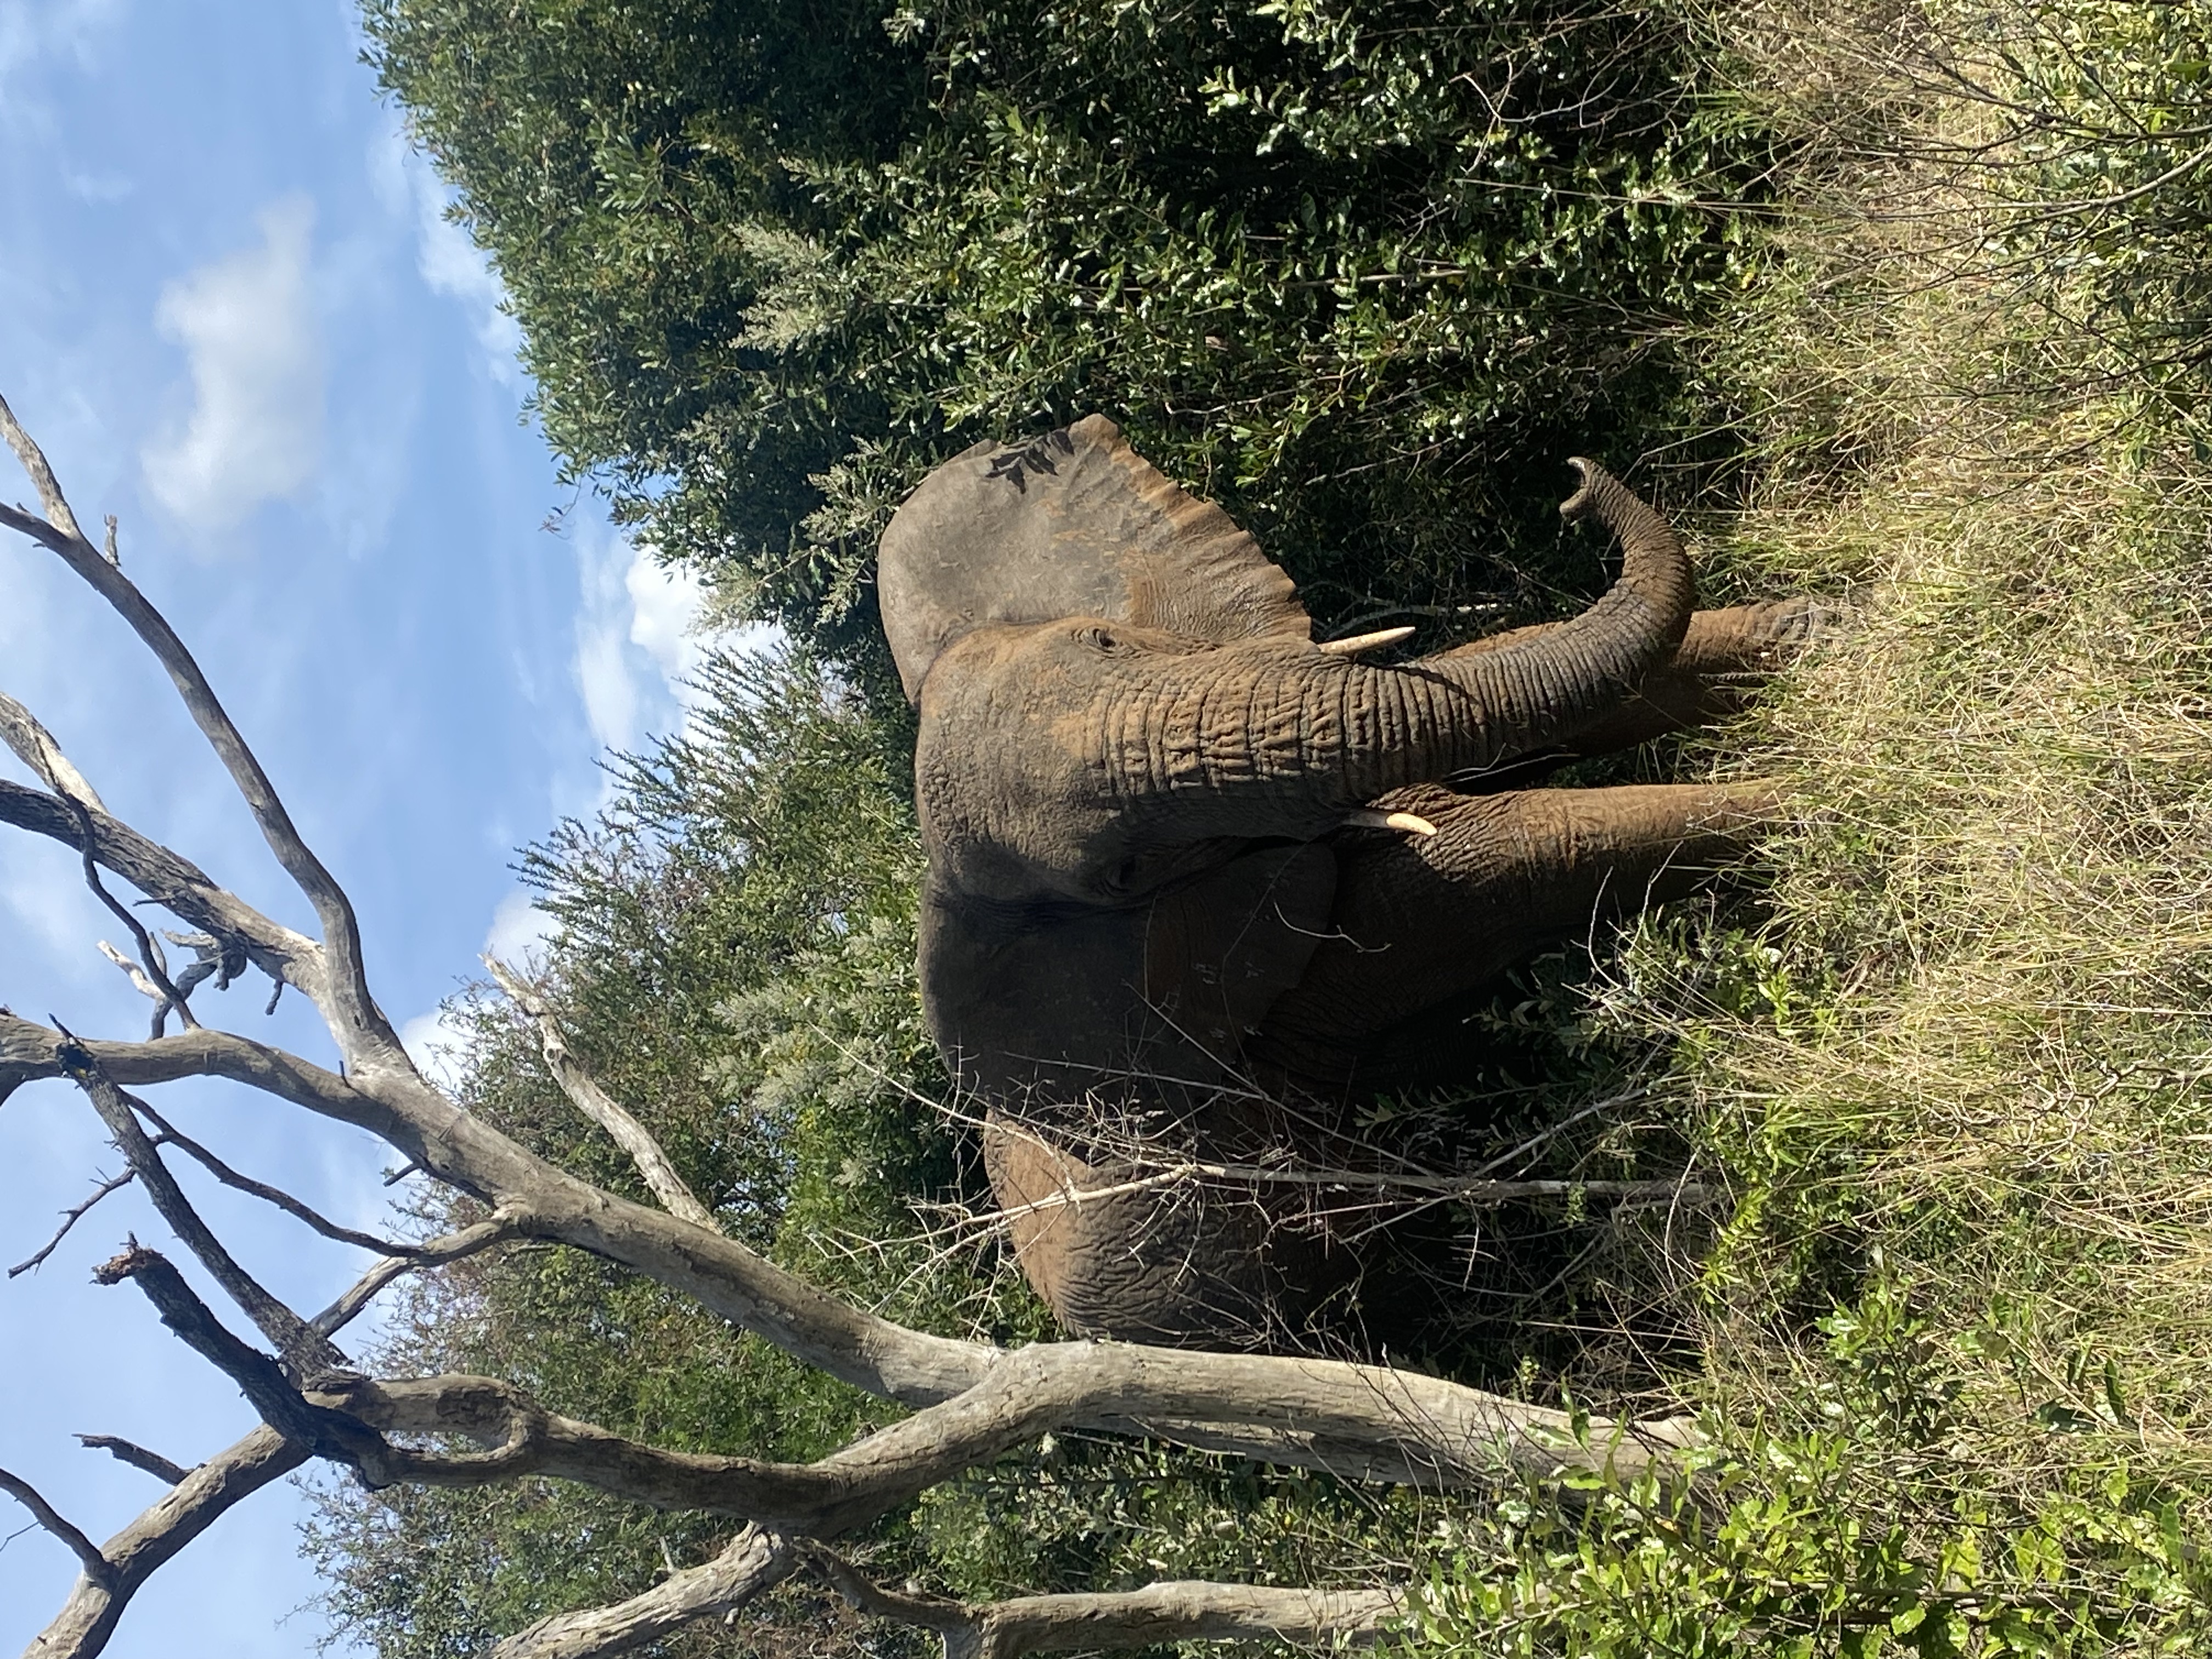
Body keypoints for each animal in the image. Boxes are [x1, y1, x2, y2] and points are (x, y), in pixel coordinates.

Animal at [878, 415, 1812, 1350]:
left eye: (1104, 640)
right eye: (1122, 872)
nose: (1575, 485)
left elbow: (1512, 665)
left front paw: (1816, 633)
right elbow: (1511, 848)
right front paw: (1819, 800)